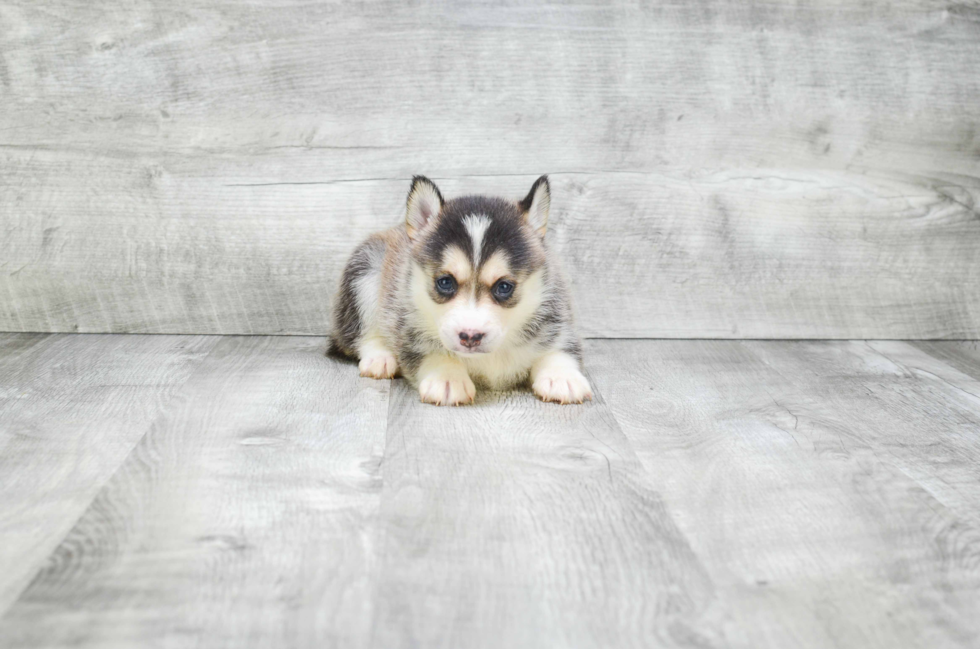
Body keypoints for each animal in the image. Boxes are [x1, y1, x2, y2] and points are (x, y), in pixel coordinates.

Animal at [330, 173, 588, 404]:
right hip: (364, 274)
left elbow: (559, 350)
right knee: (362, 334)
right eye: (445, 282)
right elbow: (432, 352)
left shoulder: (557, 320)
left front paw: (561, 377)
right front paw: (447, 378)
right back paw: (380, 358)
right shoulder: (408, 328)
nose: (470, 337)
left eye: (504, 286)